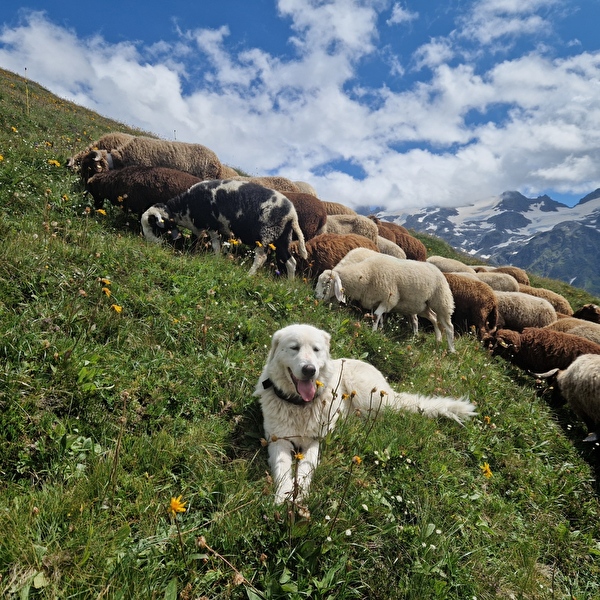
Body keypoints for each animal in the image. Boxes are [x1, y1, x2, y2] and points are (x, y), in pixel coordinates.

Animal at [141, 180, 308, 278]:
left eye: (153, 225)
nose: (151, 244)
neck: (185, 207)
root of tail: (292, 214)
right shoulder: (218, 230)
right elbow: (210, 244)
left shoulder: (212, 225)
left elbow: (216, 246)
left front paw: (215, 260)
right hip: (282, 238)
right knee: (291, 262)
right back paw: (289, 285)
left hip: (266, 234)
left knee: (261, 258)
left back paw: (248, 275)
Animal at [255, 324, 476, 502]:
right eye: (294, 348)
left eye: (316, 350)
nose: (310, 369)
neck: (300, 405)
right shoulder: (278, 441)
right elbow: (283, 468)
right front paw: (283, 497)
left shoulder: (315, 440)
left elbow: (305, 468)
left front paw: (299, 495)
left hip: (369, 396)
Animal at [314, 254, 454, 352]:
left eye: (327, 282)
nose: (316, 296)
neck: (367, 274)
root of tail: (437, 270)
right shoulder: (376, 300)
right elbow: (378, 317)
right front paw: (379, 330)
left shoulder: (389, 299)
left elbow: (376, 315)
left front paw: (372, 332)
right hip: (422, 306)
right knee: (434, 318)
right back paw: (437, 340)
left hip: (441, 301)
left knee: (449, 326)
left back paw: (451, 349)